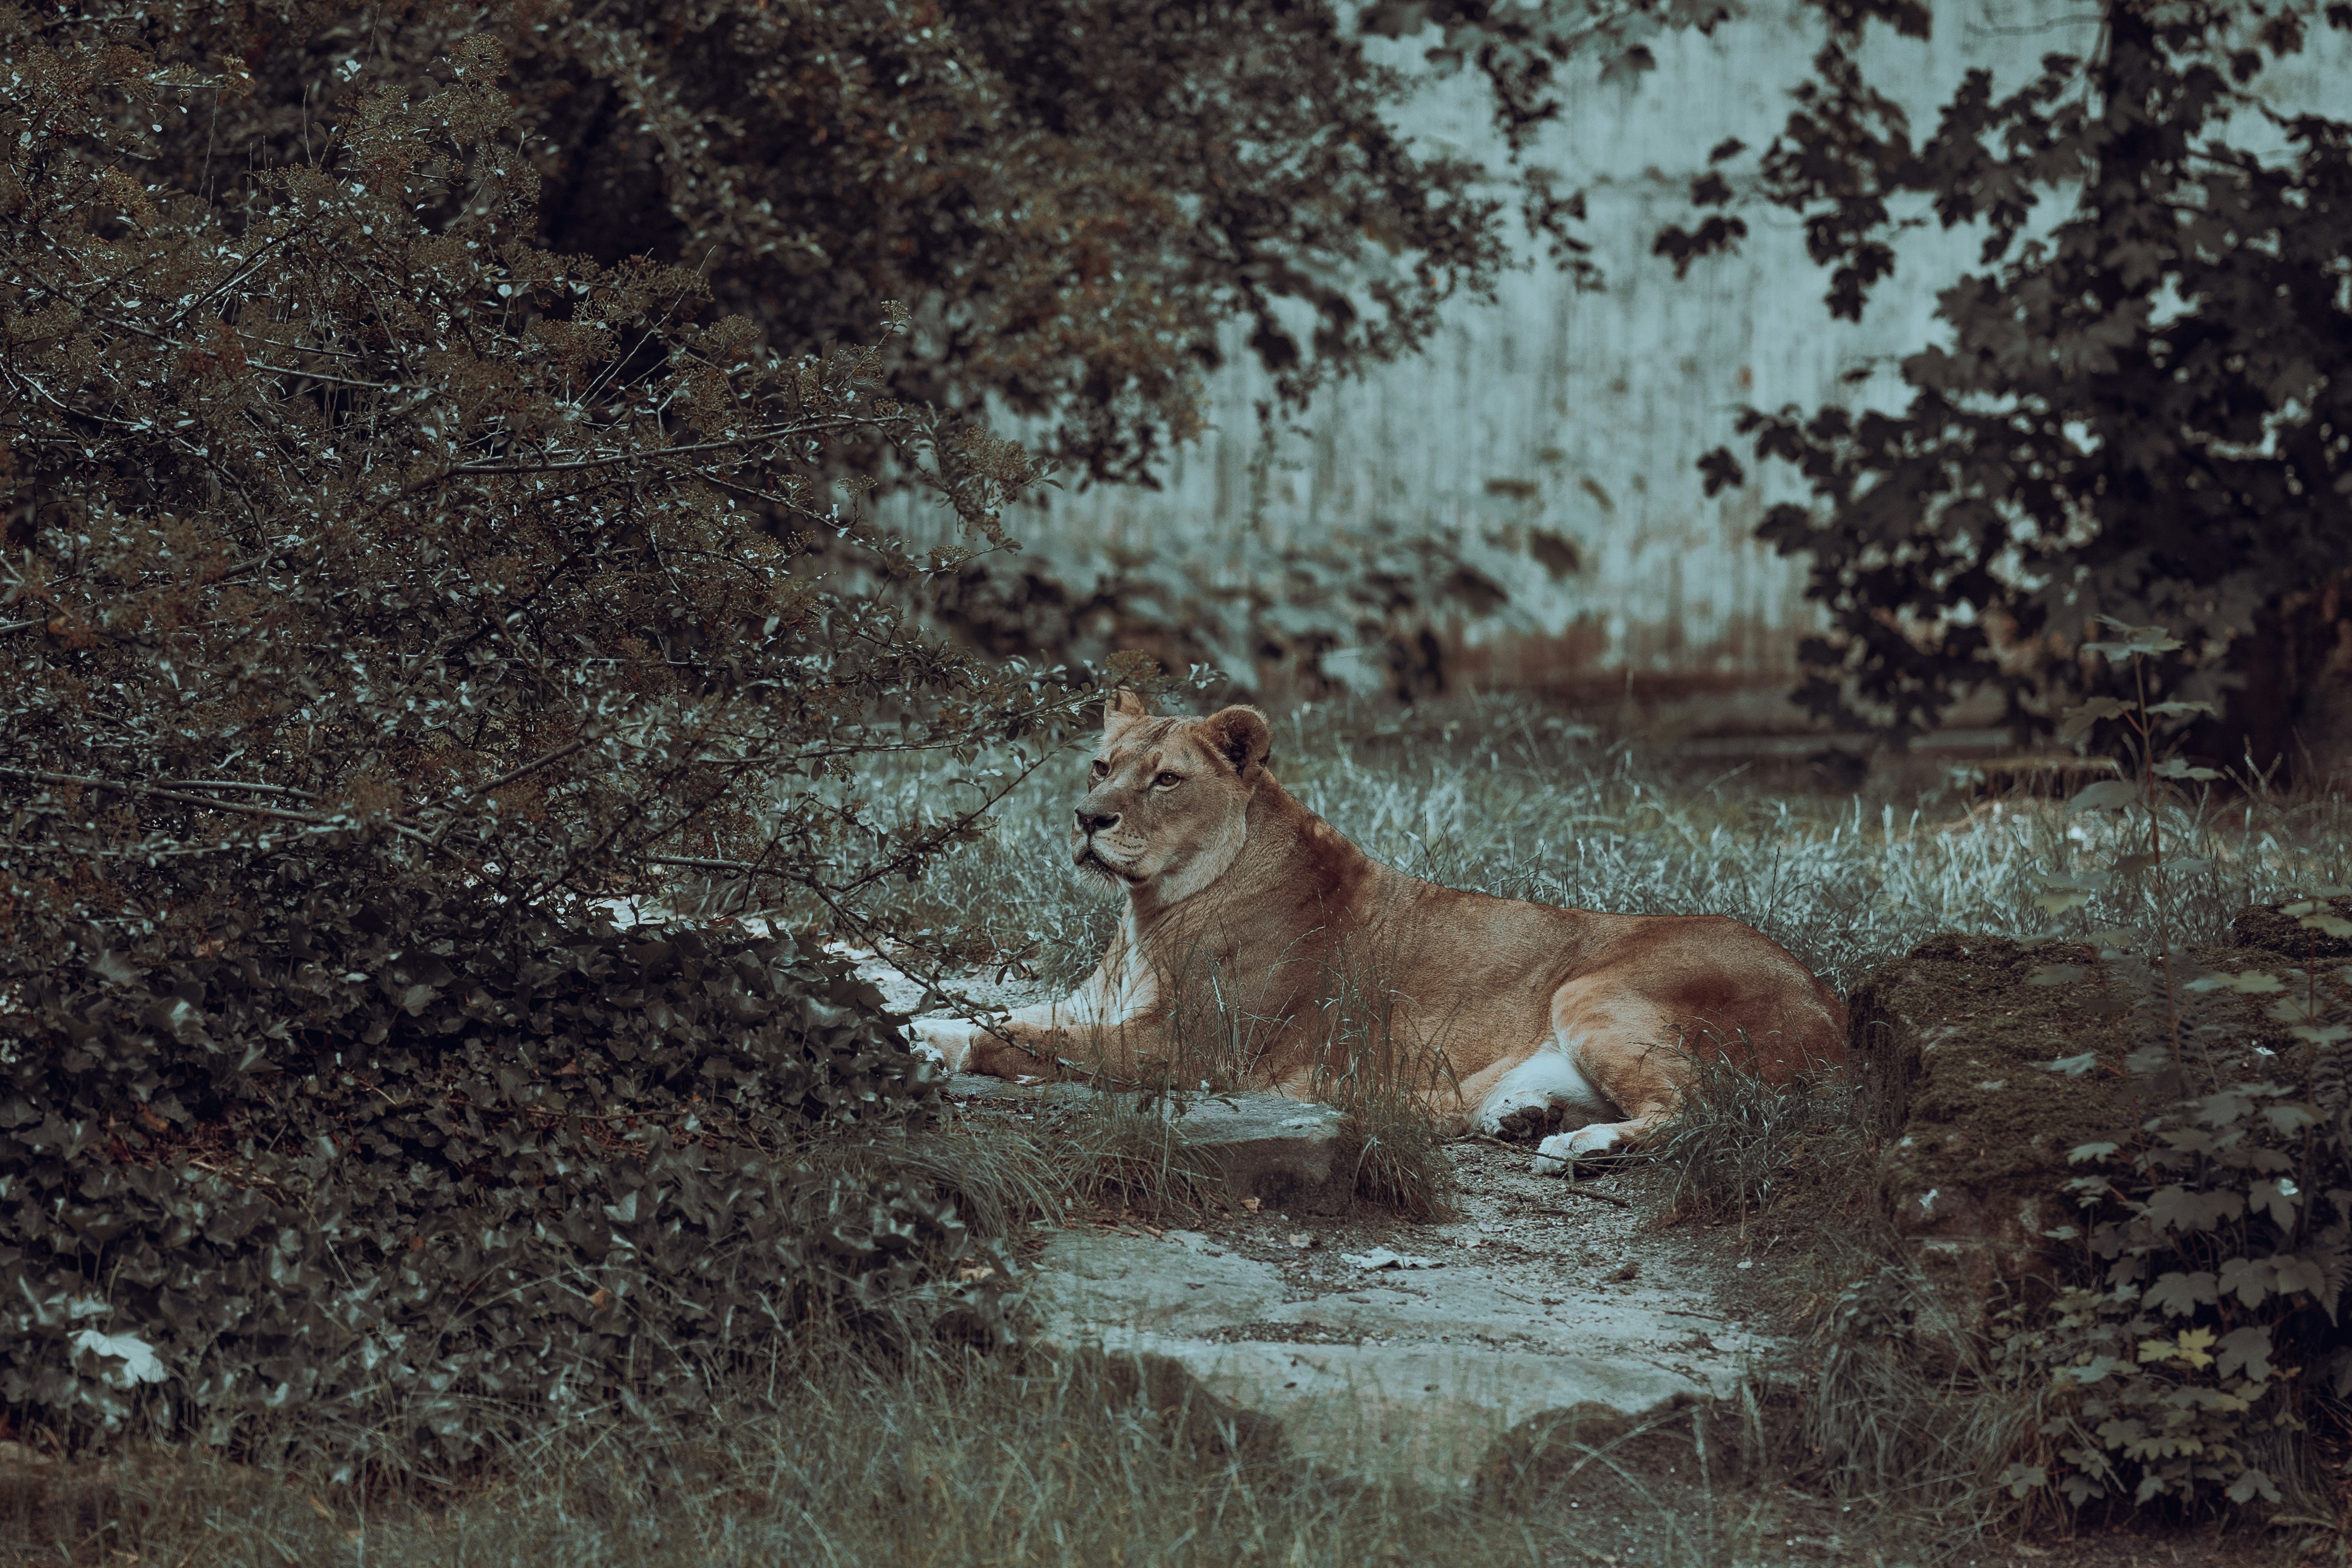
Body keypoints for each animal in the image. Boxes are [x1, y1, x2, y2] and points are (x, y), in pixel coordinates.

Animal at [910, 693, 1847, 1169]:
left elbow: (1021, 1038)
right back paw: (1524, 1117)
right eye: (1101, 766)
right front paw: (915, 1031)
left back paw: (1580, 1144)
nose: (1087, 818)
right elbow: (1004, 1012)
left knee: (1700, 1110)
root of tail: (1834, 1011)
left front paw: (944, 1050)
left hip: (1597, 988)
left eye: (1166, 779)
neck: (1147, 912)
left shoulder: (1196, 1048)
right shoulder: (1100, 1006)